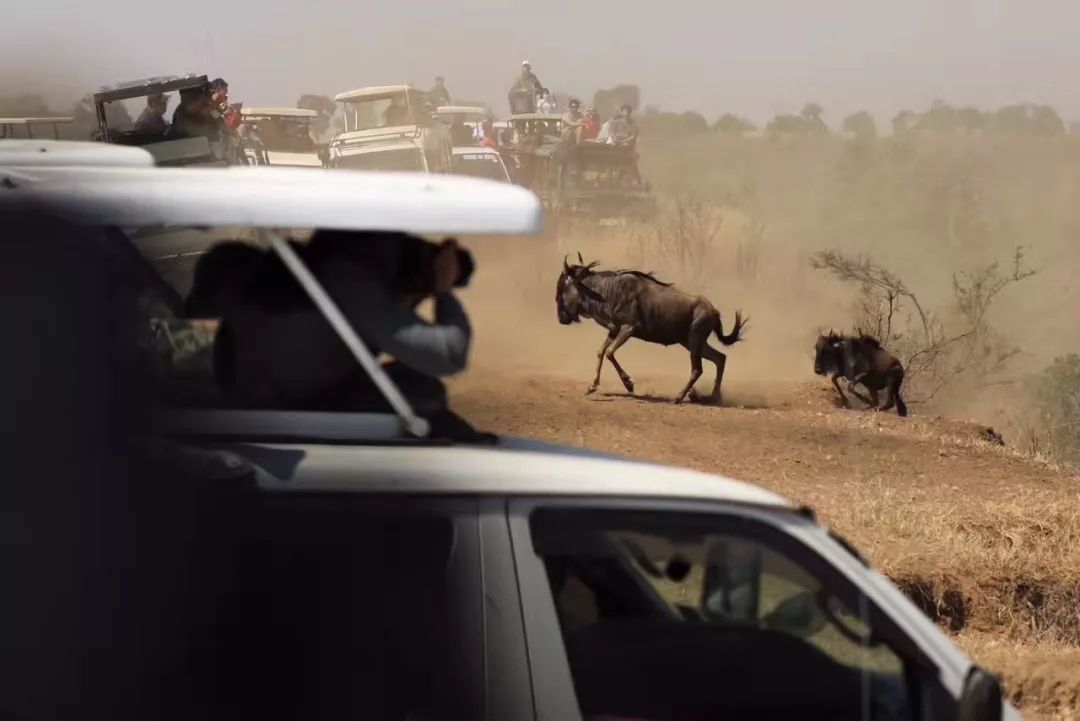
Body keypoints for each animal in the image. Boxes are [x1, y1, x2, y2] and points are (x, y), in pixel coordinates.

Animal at [552, 253, 747, 403]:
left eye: (561, 288)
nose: (561, 319)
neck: (606, 291)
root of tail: (714, 311)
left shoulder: (629, 328)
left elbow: (609, 353)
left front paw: (629, 383)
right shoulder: (614, 330)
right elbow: (601, 352)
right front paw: (592, 386)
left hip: (694, 340)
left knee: (698, 369)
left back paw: (679, 397)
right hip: (691, 343)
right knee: (720, 358)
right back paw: (713, 397)